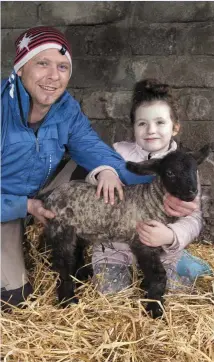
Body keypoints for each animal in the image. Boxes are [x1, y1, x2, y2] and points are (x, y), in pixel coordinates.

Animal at [43, 144, 209, 316]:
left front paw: (146, 288)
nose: (192, 192)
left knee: (75, 253)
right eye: (170, 173)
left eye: (195, 170)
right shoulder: (142, 243)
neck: (154, 201)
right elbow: (158, 275)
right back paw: (67, 299)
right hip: (61, 230)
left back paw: (81, 275)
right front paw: (155, 307)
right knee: (63, 264)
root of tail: (51, 195)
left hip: (79, 230)